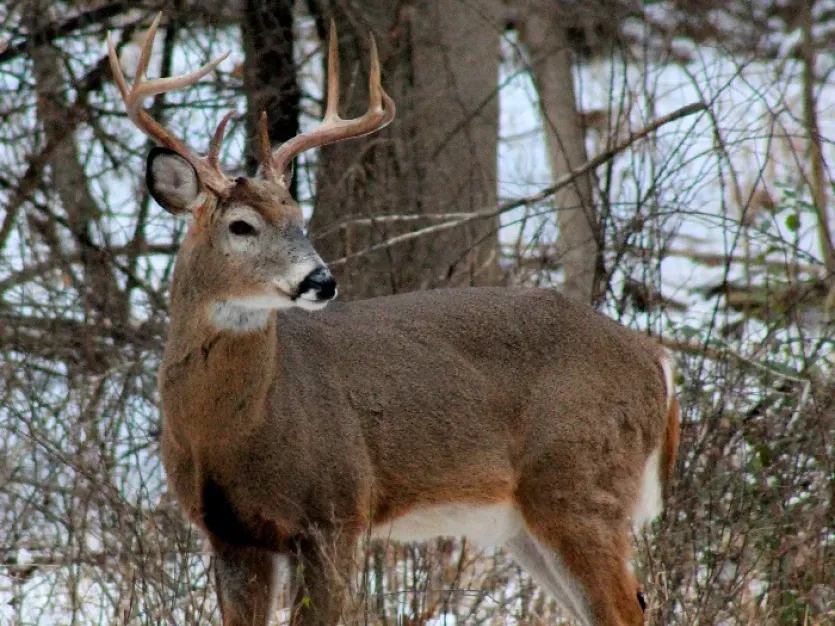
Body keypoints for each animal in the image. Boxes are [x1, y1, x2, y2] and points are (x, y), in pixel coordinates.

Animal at [107, 14, 680, 626]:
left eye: (298, 217)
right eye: (241, 225)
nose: (320, 280)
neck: (235, 430)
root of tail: (656, 359)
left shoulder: (337, 508)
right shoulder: (230, 534)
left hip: (578, 482)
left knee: (625, 606)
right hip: (526, 520)